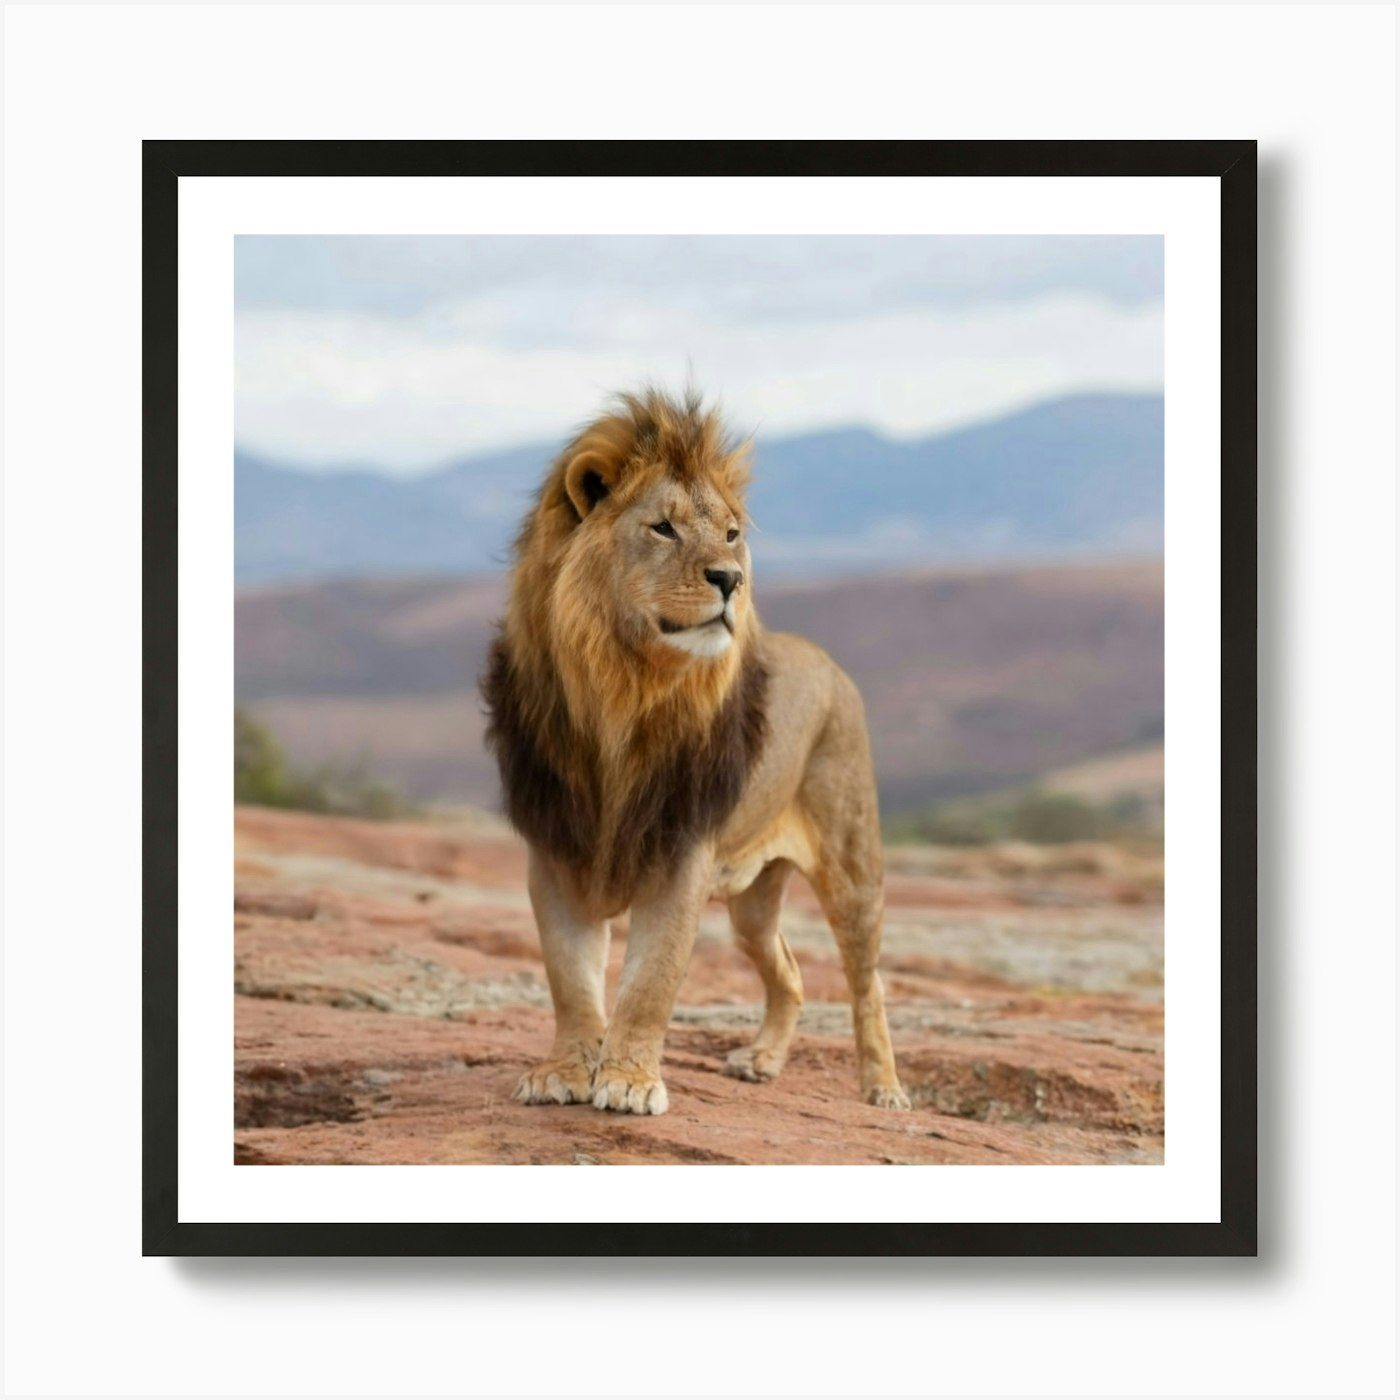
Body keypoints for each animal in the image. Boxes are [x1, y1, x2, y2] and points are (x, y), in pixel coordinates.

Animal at [482, 388, 909, 1116]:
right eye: (663, 529)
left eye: (732, 534)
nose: (731, 579)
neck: (620, 693)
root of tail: (827, 660)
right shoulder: (556, 852)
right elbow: (571, 981)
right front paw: (565, 1071)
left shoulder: (681, 853)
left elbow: (650, 983)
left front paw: (628, 1081)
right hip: (752, 902)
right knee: (790, 971)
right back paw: (762, 1060)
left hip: (853, 869)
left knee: (867, 980)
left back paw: (883, 1088)